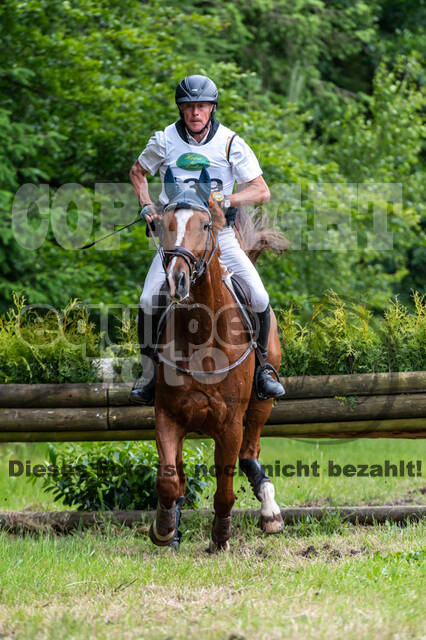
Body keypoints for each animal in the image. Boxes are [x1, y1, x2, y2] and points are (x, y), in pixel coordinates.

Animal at [146, 166, 289, 551]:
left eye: (206, 224)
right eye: (163, 224)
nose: (177, 281)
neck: (201, 333)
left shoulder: (230, 424)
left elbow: (225, 489)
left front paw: (221, 536)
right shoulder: (168, 416)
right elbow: (169, 480)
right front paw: (165, 528)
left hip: (261, 404)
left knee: (250, 453)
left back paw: (270, 513)